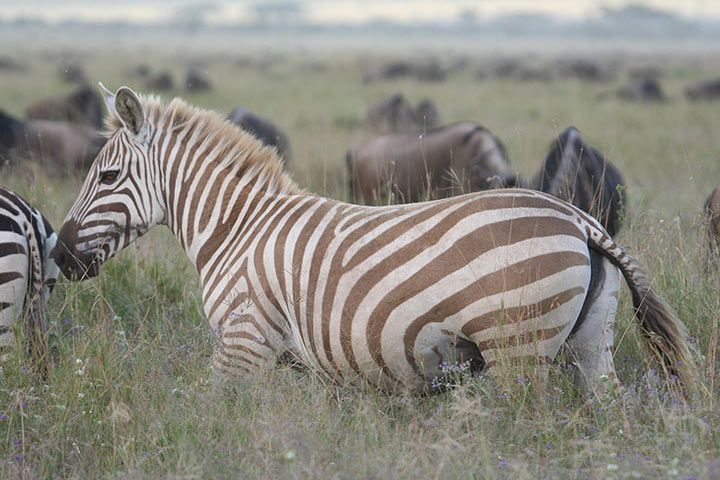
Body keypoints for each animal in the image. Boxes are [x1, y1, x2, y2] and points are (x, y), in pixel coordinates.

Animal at [52, 85, 696, 394]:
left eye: (107, 177)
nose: (60, 256)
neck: (238, 231)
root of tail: (579, 220)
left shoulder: (242, 341)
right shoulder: (303, 362)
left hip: (519, 349)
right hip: (590, 348)